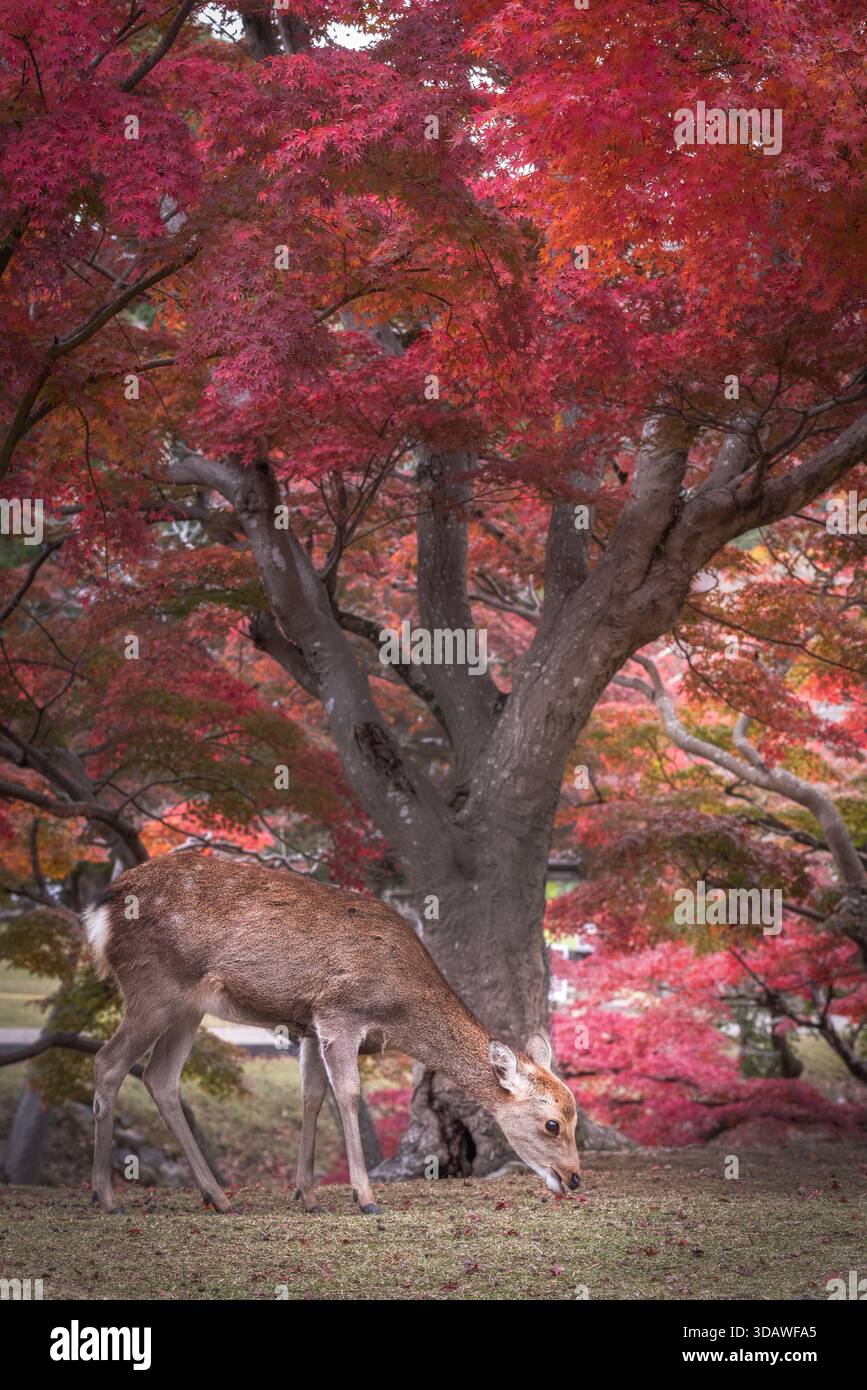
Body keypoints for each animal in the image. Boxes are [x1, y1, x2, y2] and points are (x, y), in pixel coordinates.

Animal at [82, 850, 582, 1215]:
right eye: (552, 1124)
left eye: (573, 1115)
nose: (575, 1178)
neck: (399, 1009)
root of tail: (101, 908)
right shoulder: (340, 1014)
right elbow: (348, 1094)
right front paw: (365, 1198)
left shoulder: (308, 1026)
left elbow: (311, 1097)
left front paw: (307, 1196)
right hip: (154, 985)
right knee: (108, 1062)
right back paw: (106, 1197)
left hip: (188, 1007)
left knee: (160, 1078)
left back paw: (218, 1198)